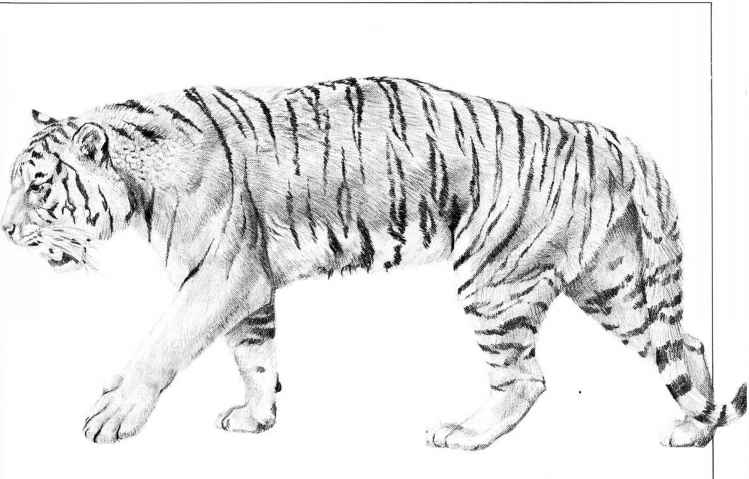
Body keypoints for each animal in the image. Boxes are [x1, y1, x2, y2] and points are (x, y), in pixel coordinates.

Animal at [2, 77, 745, 450]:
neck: (137, 181)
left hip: (496, 282)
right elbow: (255, 356)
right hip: (612, 285)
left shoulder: (216, 276)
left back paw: (464, 435)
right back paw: (692, 428)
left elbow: (160, 345)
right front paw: (257, 419)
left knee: (526, 378)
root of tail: (607, 137)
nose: (6, 230)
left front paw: (112, 415)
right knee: (683, 341)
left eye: (37, 185)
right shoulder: (249, 285)